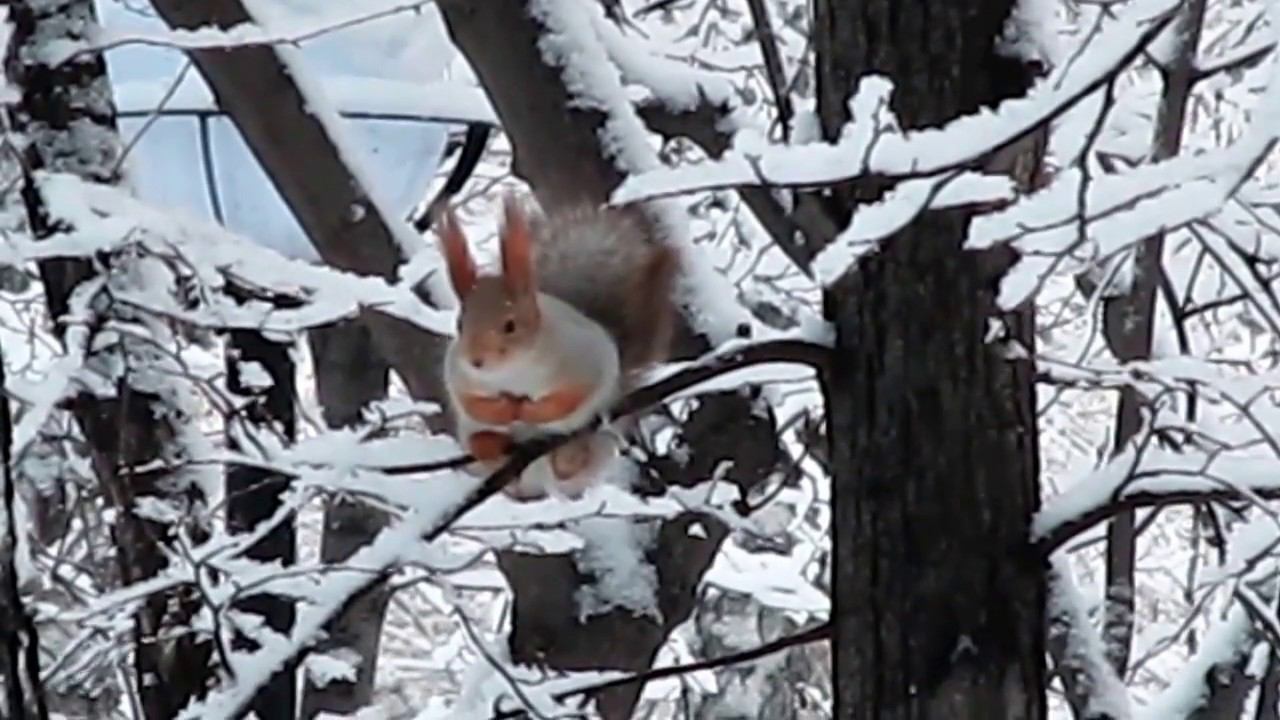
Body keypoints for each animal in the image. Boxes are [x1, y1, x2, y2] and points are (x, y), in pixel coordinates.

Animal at [437, 193, 680, 502]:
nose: (476, 361)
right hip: (471, 436)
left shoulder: (582, 358)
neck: (512, 372)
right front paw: (504, 410)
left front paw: (531, 412)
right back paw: (489, 446)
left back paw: (568, 457)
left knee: (571, 466)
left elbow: (572, 396)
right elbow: (470, 401)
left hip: (594, 439)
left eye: (510, 325)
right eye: (459, 324)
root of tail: (533, 487)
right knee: (483, 446)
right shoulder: (459, 373)